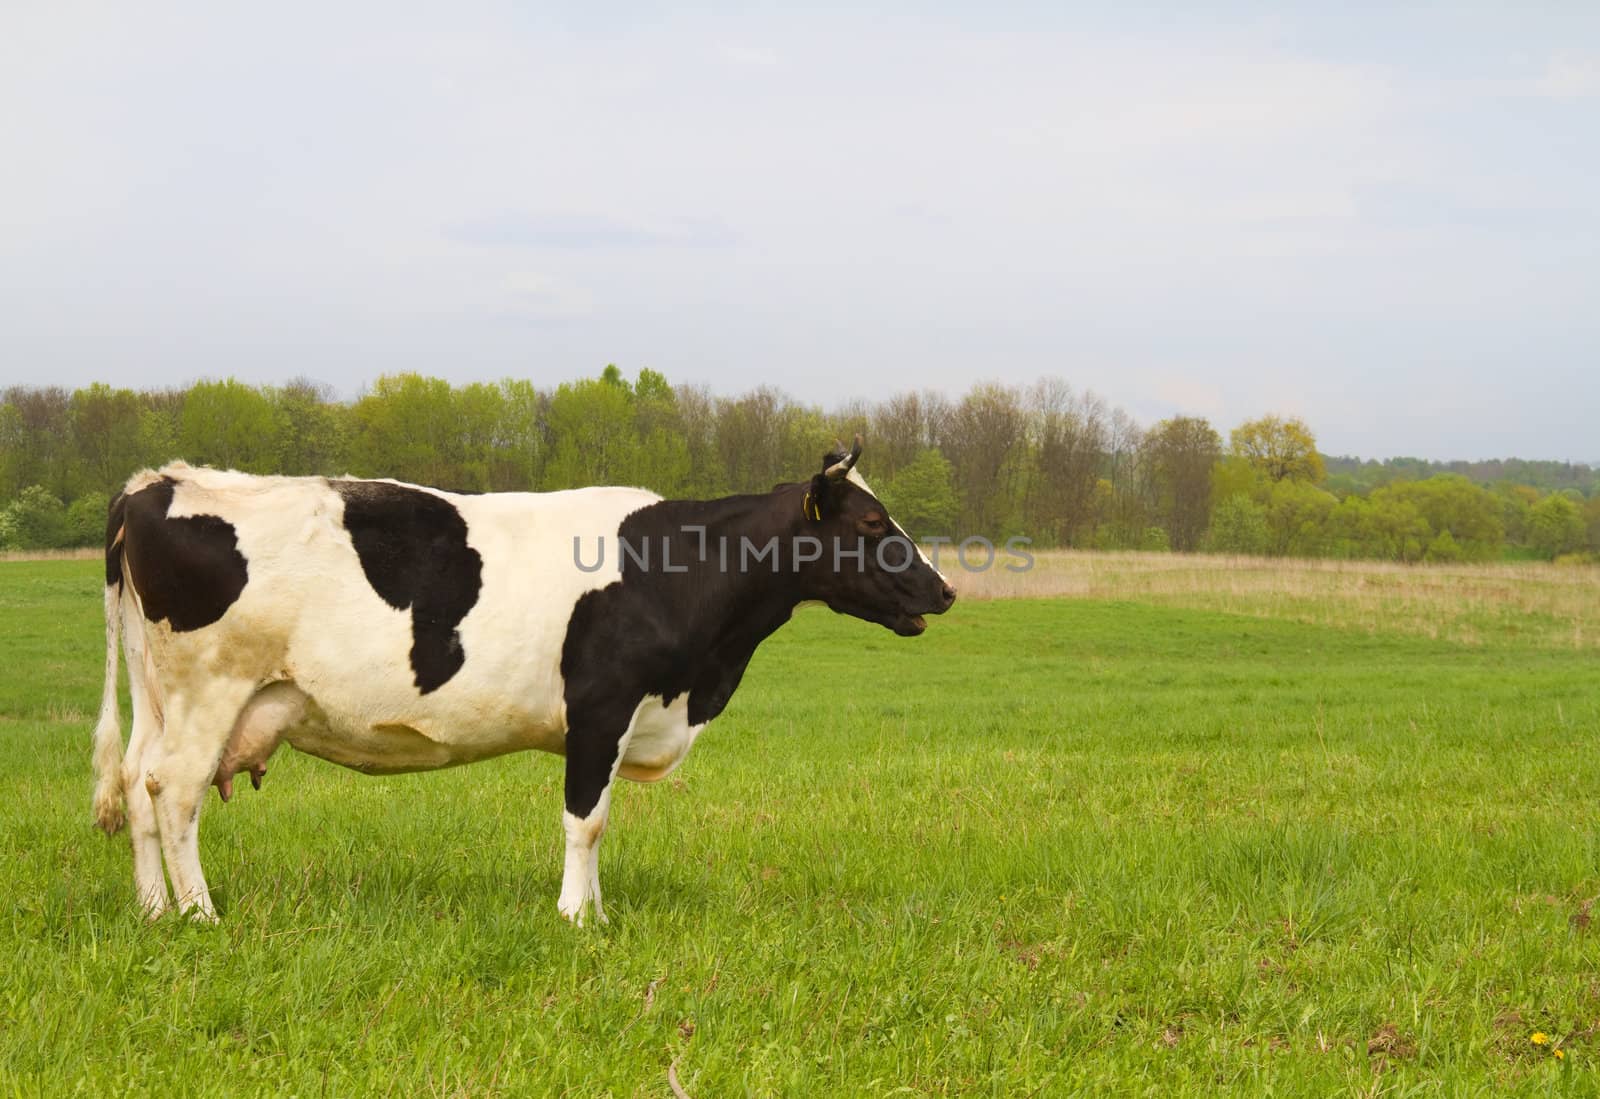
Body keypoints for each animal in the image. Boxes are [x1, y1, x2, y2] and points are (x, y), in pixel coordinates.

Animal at [93, 438, 953, 927]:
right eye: (872, 525)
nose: (944, 589)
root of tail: (159, 481)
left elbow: (599, 820)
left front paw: (597, 910)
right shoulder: (602, 706)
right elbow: (586, 820)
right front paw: (577, 919)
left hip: (158, 691)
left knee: (135, 779)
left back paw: (151, 908)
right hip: (209, 688)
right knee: (174, 789)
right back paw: (200, 913)